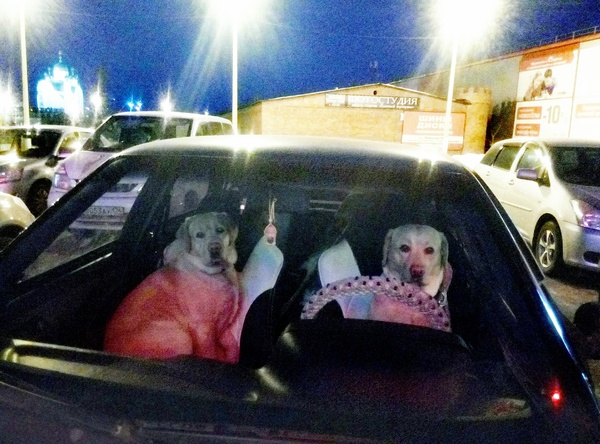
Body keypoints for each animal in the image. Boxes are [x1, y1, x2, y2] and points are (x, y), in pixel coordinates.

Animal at [105, 212, 244, 364]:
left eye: (220, 230)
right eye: (199, 235)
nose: (215, 248)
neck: (217, 273)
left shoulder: (224, 325)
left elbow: (232, 345)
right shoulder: (202, 327)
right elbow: (210, 352)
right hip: (181, 337)